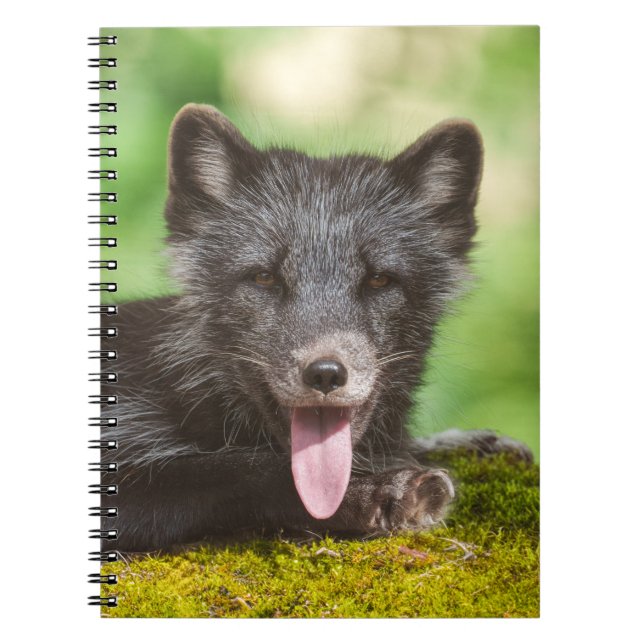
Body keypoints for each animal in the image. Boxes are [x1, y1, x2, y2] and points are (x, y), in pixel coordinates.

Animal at [100, 104, 531, 552]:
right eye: (264, 278)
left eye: (379, 280)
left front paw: (463, 443)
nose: (325, 373)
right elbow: (229, 468)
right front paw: (375, 492)